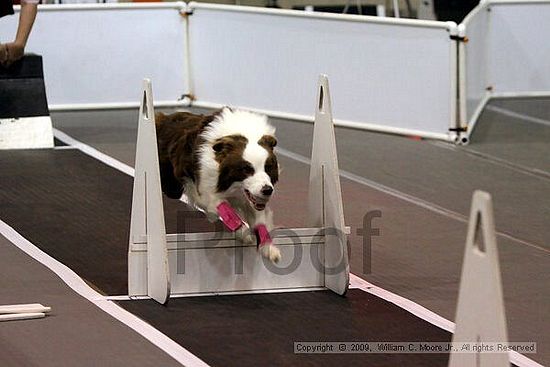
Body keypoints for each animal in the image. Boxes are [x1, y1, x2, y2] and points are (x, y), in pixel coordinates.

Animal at [156, 108, 282, 264]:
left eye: (268, 167)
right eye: (246, 169)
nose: (267, 190)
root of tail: (163, 117)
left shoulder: (253, 199)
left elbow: (260, 221)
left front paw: (269, 248)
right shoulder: (205, 190)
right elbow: (226, 209)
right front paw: (243, 232)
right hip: (170, 185)